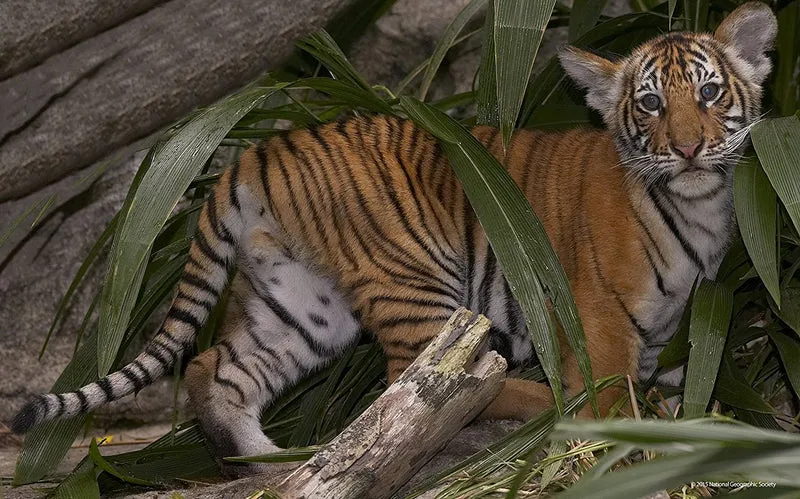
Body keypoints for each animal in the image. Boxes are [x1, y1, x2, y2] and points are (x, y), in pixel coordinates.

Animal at [11, 1, 776, 476]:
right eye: (648, 102)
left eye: (709, 93)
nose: (687, 148)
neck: (700, 205)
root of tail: (256, 151)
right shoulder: (599, 315)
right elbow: (614, 391)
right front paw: (632, 439)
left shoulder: (675, 331)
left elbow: (683, 384)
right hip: (419, 281)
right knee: (410, 387)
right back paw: (540, 407)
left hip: (305, 305)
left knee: (215, 368)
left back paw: (272, 459)